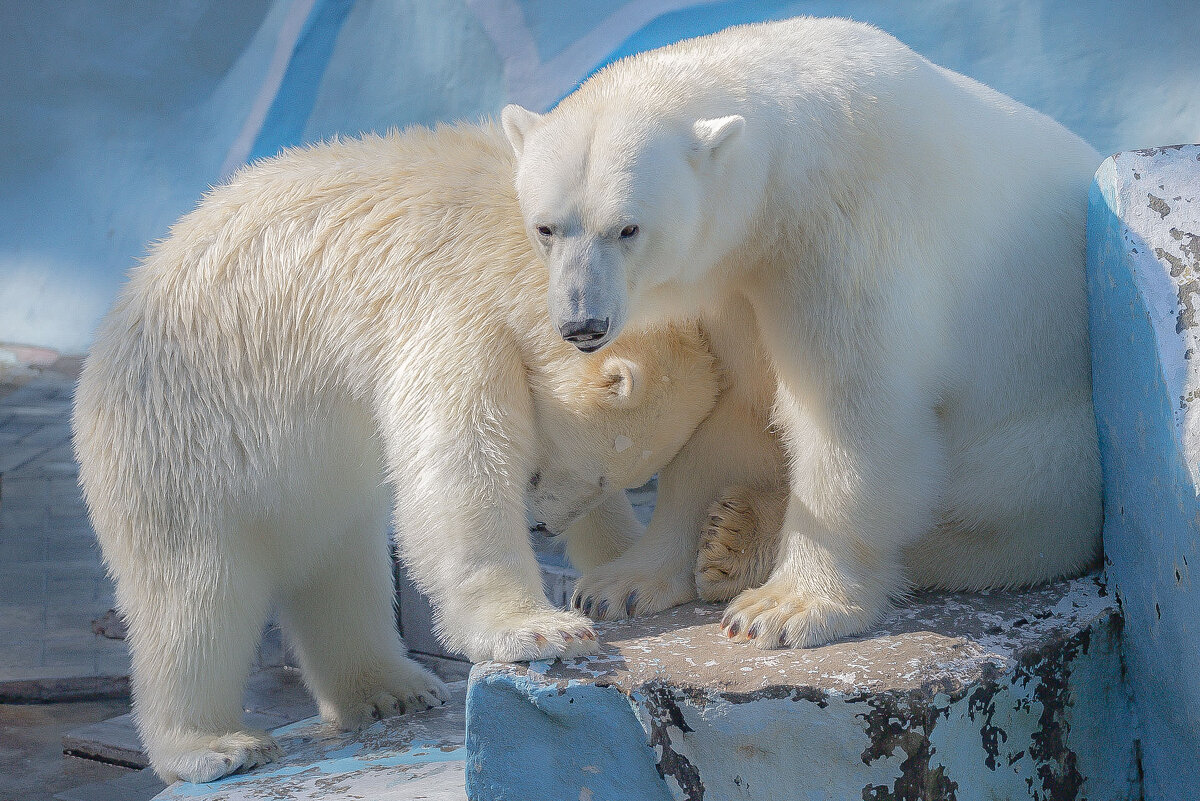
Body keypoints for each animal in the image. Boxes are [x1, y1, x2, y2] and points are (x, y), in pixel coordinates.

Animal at [72, 125, 720, 781]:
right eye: (595, 471)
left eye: (610, 479)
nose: (542, 525)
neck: (520, 249)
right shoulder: (454, 311)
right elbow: (460, 469)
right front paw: (542, 631)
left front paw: (617, 579)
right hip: (183, 438)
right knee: (196, 592)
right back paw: (213, 745)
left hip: (312, 477)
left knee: (342, 566)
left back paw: (390, 689)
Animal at [501, 17, 1099, 652]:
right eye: (547, 227)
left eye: (628, 228)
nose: (582, 324)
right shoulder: (737, 279)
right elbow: (730, 412)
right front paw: (622, 582)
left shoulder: (842, 237)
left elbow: (846, 411)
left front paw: (784, 608)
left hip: (1045, 443)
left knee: (980, 518)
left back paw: (745, 543)